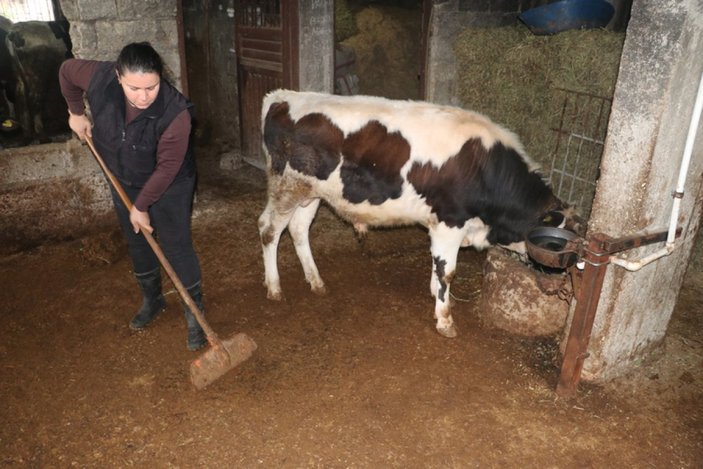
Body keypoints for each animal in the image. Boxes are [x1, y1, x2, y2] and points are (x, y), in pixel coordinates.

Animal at [258, 88, 576, 336]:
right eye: (553, 244)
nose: (556, 275)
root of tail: (281, 97)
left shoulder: (440, 224)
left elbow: (437, 266)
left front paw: (437, 297)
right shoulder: (450, 221)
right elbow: (448, 271)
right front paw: (445, 320)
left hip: (310, 193)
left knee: (298, 230)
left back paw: (315, 281)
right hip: (287, 188)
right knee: (269, 229)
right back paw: (274, 288)